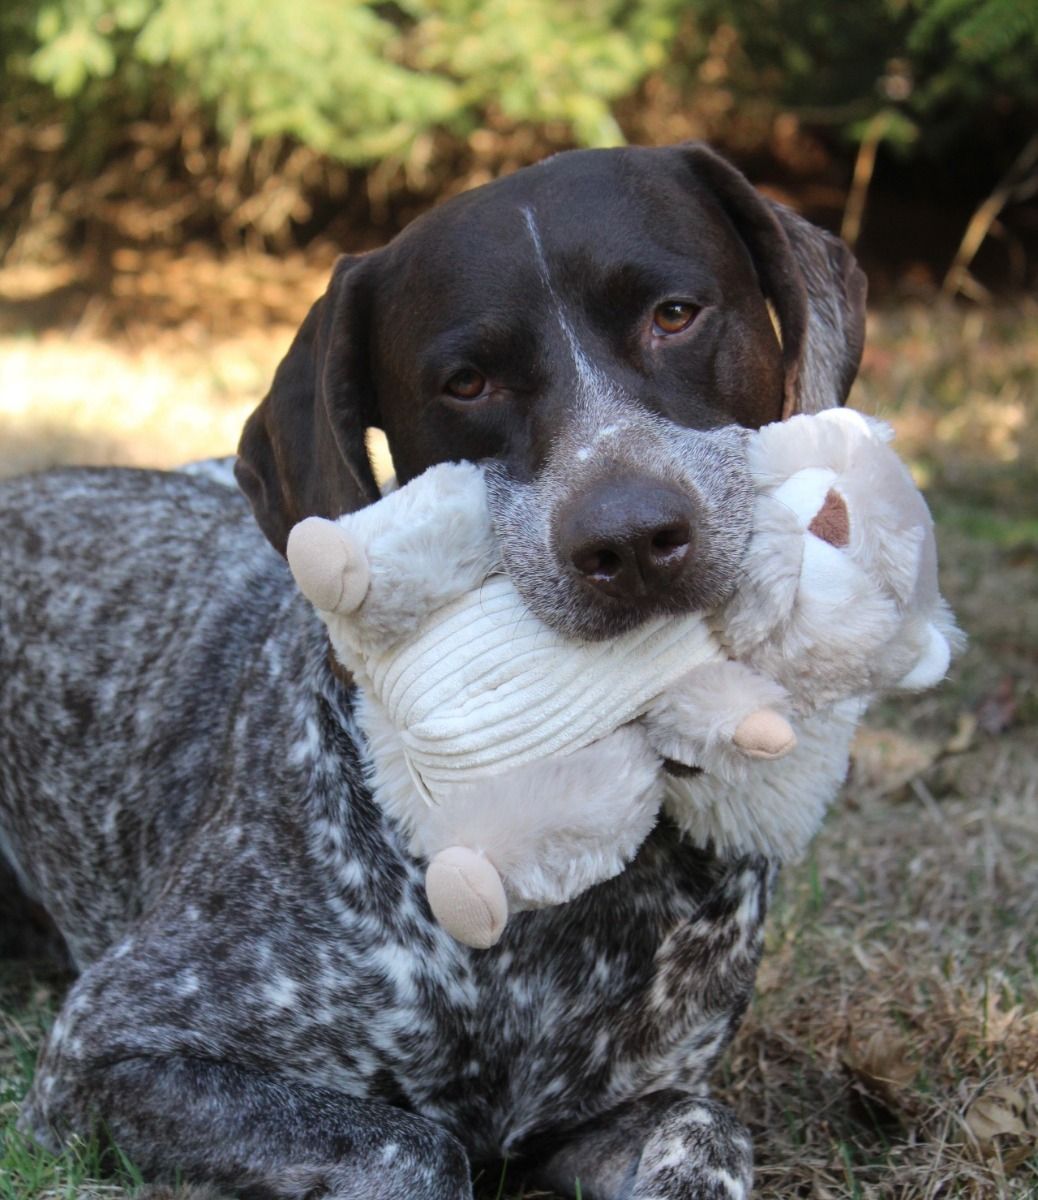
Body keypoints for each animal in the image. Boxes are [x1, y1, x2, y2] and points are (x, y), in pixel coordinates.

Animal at [0, 145, 864, 1195]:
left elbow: (709, 1130)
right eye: (466, 382)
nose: (630, 539)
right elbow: (418, 1145)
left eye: (674, 315)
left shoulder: (620, 1108)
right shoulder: (109, 1048)